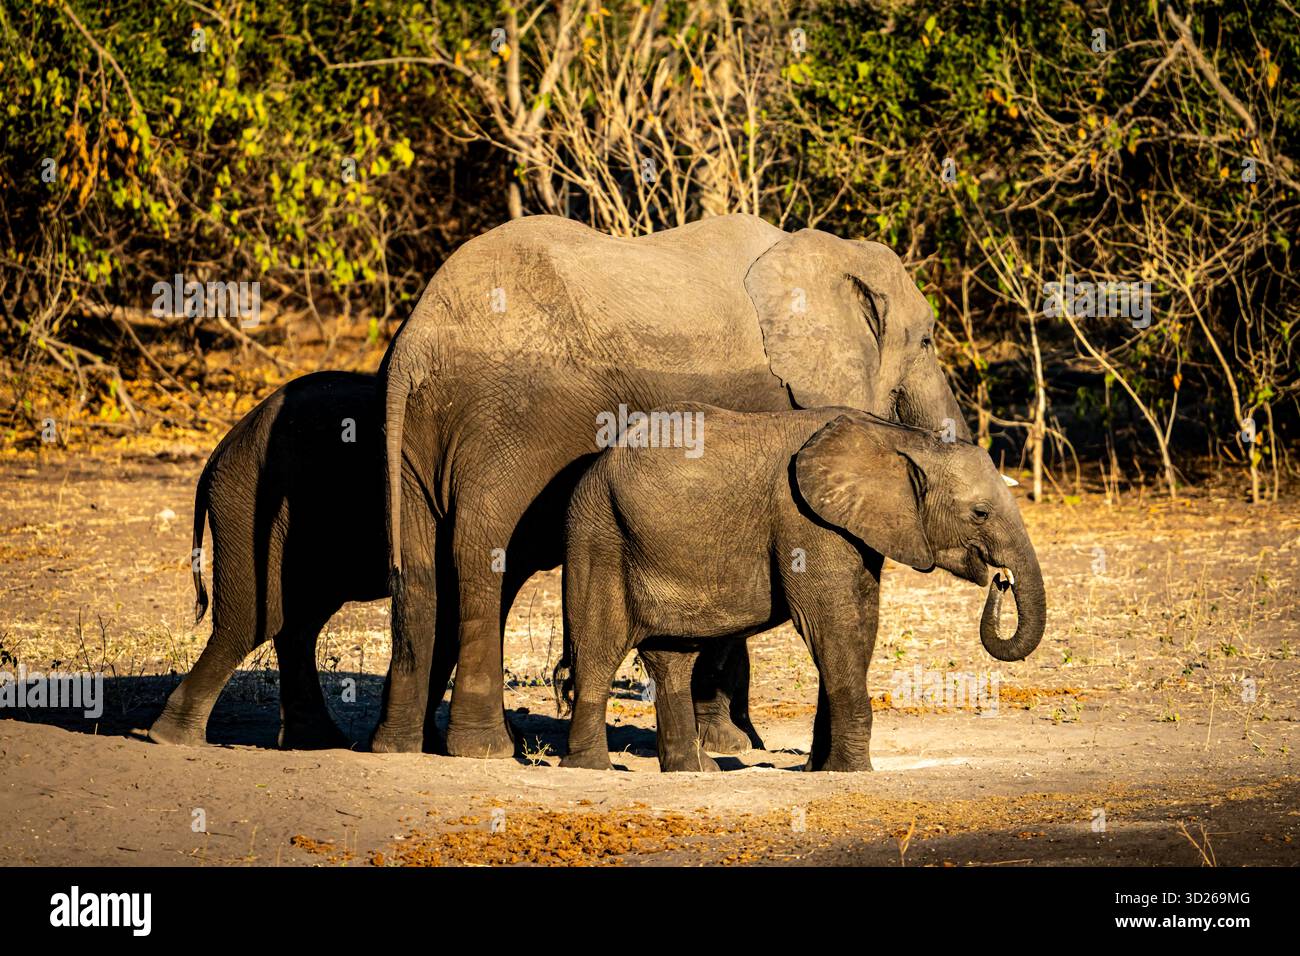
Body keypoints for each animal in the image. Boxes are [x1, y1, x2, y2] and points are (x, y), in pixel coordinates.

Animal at [147, 371, 449, 749]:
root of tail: (219, 451)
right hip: (248, 507)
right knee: (252, 623)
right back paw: (172, 737)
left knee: (298, 622)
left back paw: (313, 739)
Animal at [377, 213, 972, 758]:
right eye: (925, 341)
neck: (828, 252)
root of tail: (415, 341)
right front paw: (732, 743)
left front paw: (735, 741)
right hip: (510, 423)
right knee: (486, 558)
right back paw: (487, 749)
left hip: (420, 441)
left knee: (424, 567)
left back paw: (401, 745)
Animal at [557, 405, 1046, 772]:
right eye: (980, 513)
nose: (1002, 579)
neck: (902, 440)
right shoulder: (805, 519)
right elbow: (832, 626)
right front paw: (853, 772)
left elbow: (859, 626)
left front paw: (822, 769)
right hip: (598, 534)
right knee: (598, 649)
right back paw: (591, 768)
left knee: (672, 658)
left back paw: (693, 770)